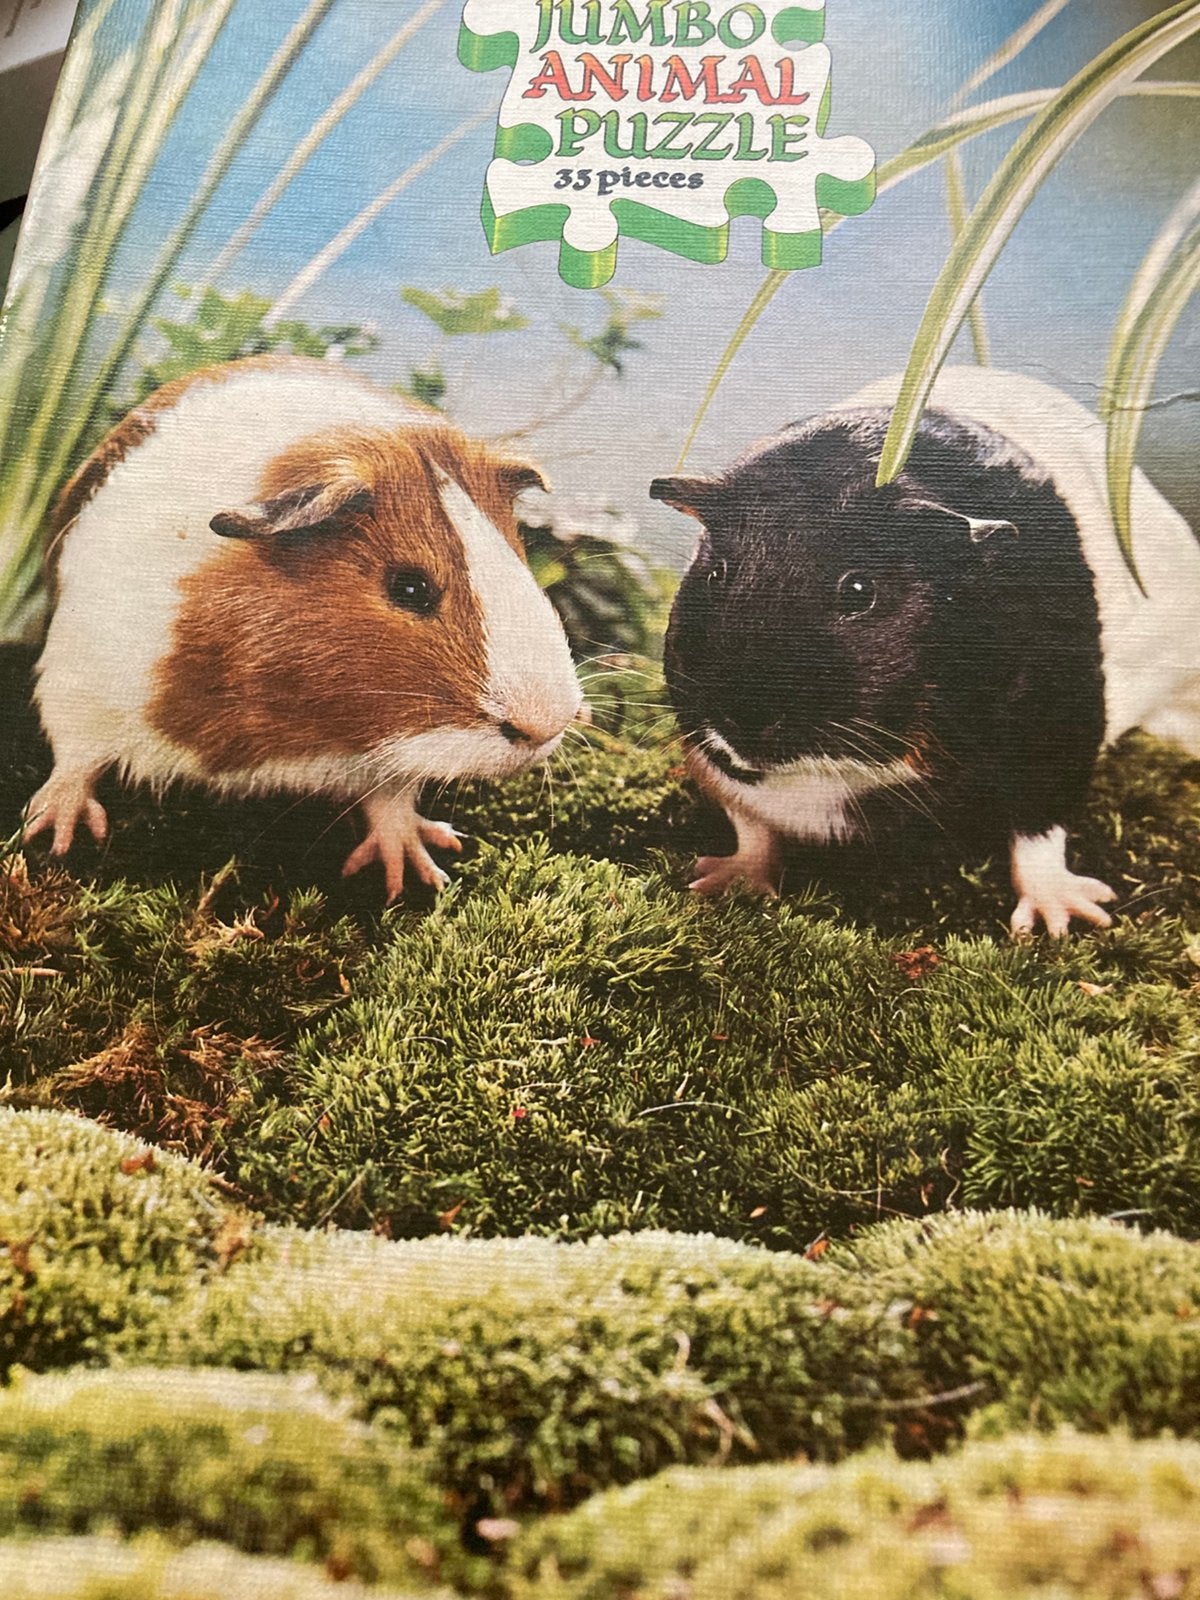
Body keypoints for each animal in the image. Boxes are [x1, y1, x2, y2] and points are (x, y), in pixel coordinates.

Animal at [25, 355, 583, 898]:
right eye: (409, 587)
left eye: (517, 554)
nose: (544, 727)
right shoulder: (79, 681)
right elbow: (76, 761)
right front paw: (50, 833)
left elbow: (392, 799)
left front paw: (415, 868)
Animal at [652, 366, 1200, 936]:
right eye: (716, 574)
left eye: (859, 590)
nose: (745, 716)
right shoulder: (714, 758)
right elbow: (752, 829)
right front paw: (721, 883)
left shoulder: (1053, 730)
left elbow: (1039, 833)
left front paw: (1065, 918)